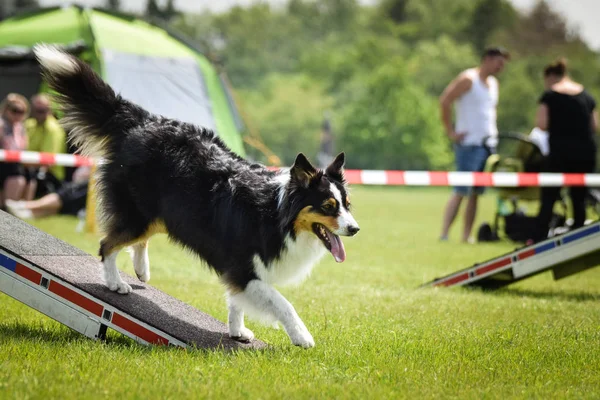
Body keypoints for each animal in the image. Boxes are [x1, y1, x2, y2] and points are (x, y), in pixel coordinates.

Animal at [34, 44, 360, 346]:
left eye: (346, 204)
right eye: (328, 206)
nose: (355, 229)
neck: (276, 213)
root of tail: (143, 121)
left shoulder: (239, 270)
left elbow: (236, 301)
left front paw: (237, 331)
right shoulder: (244, 267)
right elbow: (282, 302)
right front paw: (301, 336)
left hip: (161, 214)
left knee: (136, 241)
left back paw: (141, 270)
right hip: (139, 213)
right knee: (107, 244)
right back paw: (115, 283)